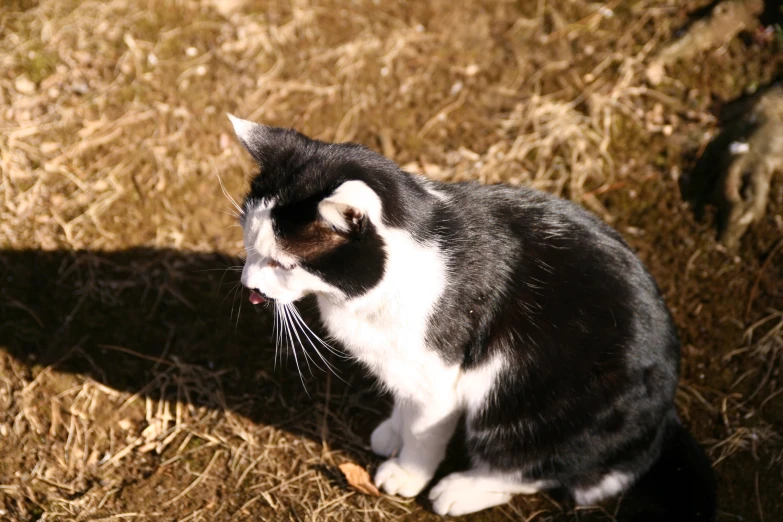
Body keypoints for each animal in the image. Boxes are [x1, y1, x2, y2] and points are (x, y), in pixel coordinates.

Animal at [228, 116, 716, 516]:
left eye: (284, 264)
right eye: (249, 245)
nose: (250, 286)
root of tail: (666, 416)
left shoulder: (439, 377)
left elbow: (426, 430)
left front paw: (407, 471)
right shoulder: (404, 365)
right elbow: (405, 406)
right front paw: (393, 430)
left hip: (535, 405)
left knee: (558, 471)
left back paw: (463, 489)